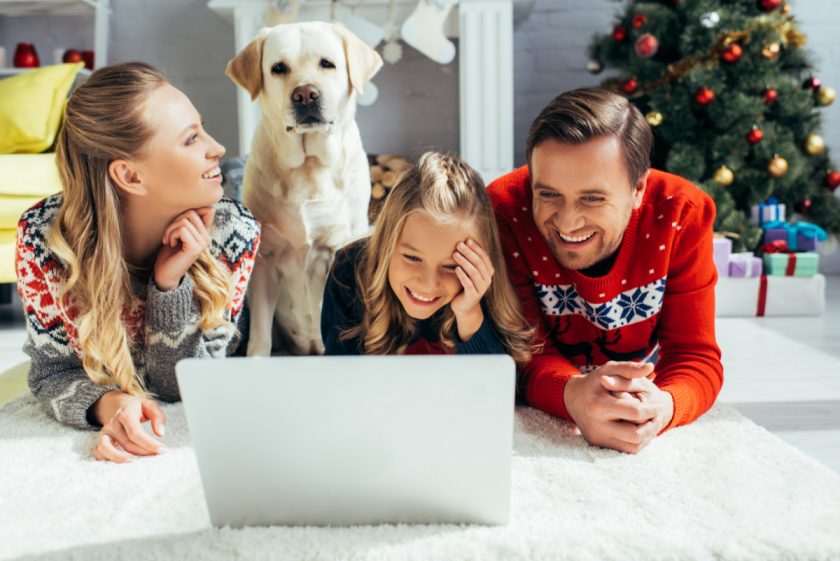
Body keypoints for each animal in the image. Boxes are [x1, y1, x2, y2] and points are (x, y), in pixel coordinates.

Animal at [223, 24, 380, 354]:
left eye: (327, 63)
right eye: (278, 68)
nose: (305, 94)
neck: (309, 168)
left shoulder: (336, 250)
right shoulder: (266, 260)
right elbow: (261, 334)